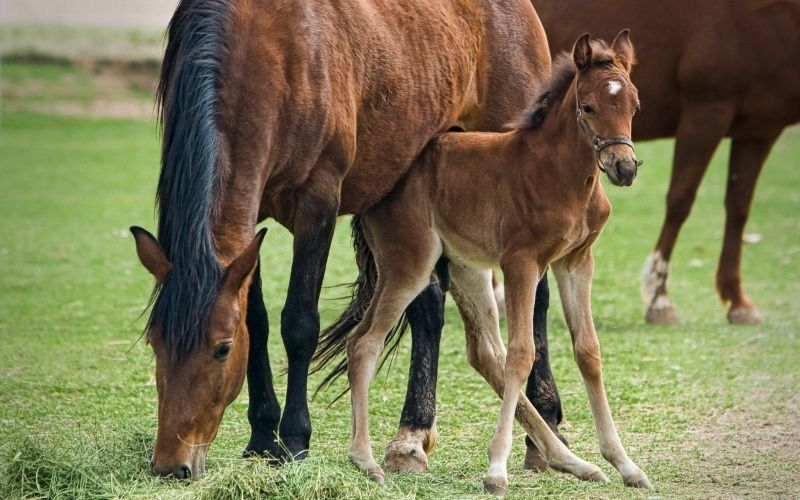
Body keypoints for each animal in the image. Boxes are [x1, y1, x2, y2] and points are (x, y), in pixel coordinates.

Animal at [131, 0, 556, 478]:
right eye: (155, 342)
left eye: (221, 350)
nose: (171, 464)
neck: (266, 51)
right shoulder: (248, 224)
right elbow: (256, 322)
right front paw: (262, 436)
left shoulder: (317, 205)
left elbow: (299, 323)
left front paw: (295, 440)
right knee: (427, 306)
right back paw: (412, 437)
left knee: (536, 299)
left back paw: (542, 429)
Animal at [338, 32, 648, 496]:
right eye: (589, 106)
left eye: (634, 105)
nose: (623, 167)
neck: (559, 174)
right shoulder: (522, 262)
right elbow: (522, 354)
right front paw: (496, 470)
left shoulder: (576, 261)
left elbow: (588, 351)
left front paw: (625, 464)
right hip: (409, 264)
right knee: (364, 343)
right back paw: (367, 460)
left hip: (467, 267)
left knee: (485, 352)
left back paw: (572, 462)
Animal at [532, 0, 800, 324]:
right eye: (588, 107)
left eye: (636, 107)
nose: (625, 168)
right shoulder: (707, 110)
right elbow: (680, 201)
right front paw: (660, 299)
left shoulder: (759, 131)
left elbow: (739, 209)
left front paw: (739, 302)